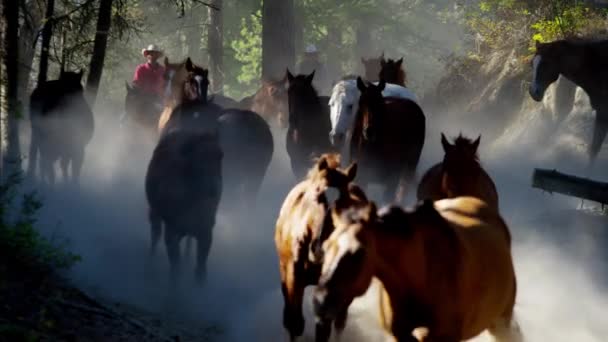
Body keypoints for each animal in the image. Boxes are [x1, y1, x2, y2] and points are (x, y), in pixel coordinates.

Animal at [276, 154, 366, 342]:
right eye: (317, 194)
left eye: (343, 201)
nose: (318, 249)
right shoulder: (293, 277)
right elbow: (294, 322)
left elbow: (324, 329)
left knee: (340, 321)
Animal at [528, 39, 608, 168]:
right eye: (531, 64)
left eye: (545, 63)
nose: (533, 92)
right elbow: (593, 150)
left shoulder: (603, 113)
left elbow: (594, 149)